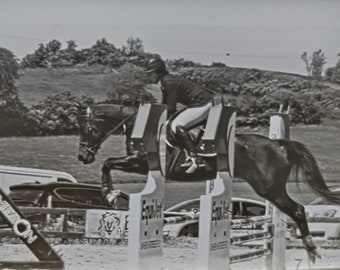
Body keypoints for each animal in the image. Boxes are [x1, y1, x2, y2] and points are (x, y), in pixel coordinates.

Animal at [77, 99, 340, 262]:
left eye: (86, 129)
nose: (82, 157)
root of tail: (278, 144)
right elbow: (108, 163)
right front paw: (112, 194)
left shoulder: (140, 163)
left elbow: (107, 163)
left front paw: (110, 195)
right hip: (270, 190)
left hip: (269, 189)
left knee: (298, 209)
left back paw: (312, 250)